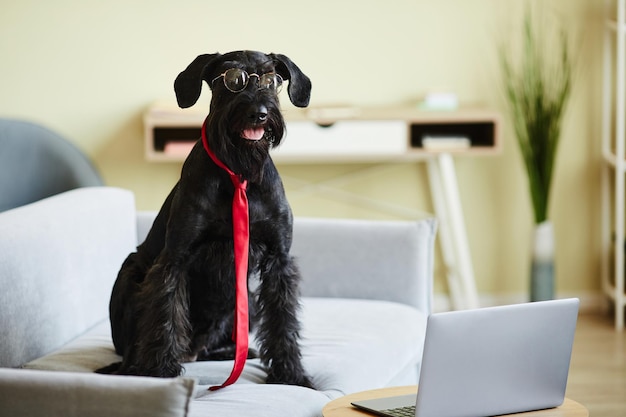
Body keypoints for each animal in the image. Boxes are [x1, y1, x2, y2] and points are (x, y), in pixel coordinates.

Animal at [98, 51, 312, 386]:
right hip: (130, 273)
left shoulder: (279, 261)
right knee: (134, 346)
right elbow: (165, 314)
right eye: (232, 79)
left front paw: (290, 373)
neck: (238, 173)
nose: (259, 113)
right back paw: (135, 368)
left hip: (248, 302)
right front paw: (160, 371)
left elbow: (283, 320)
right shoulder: (175, 259)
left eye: (271, 79)